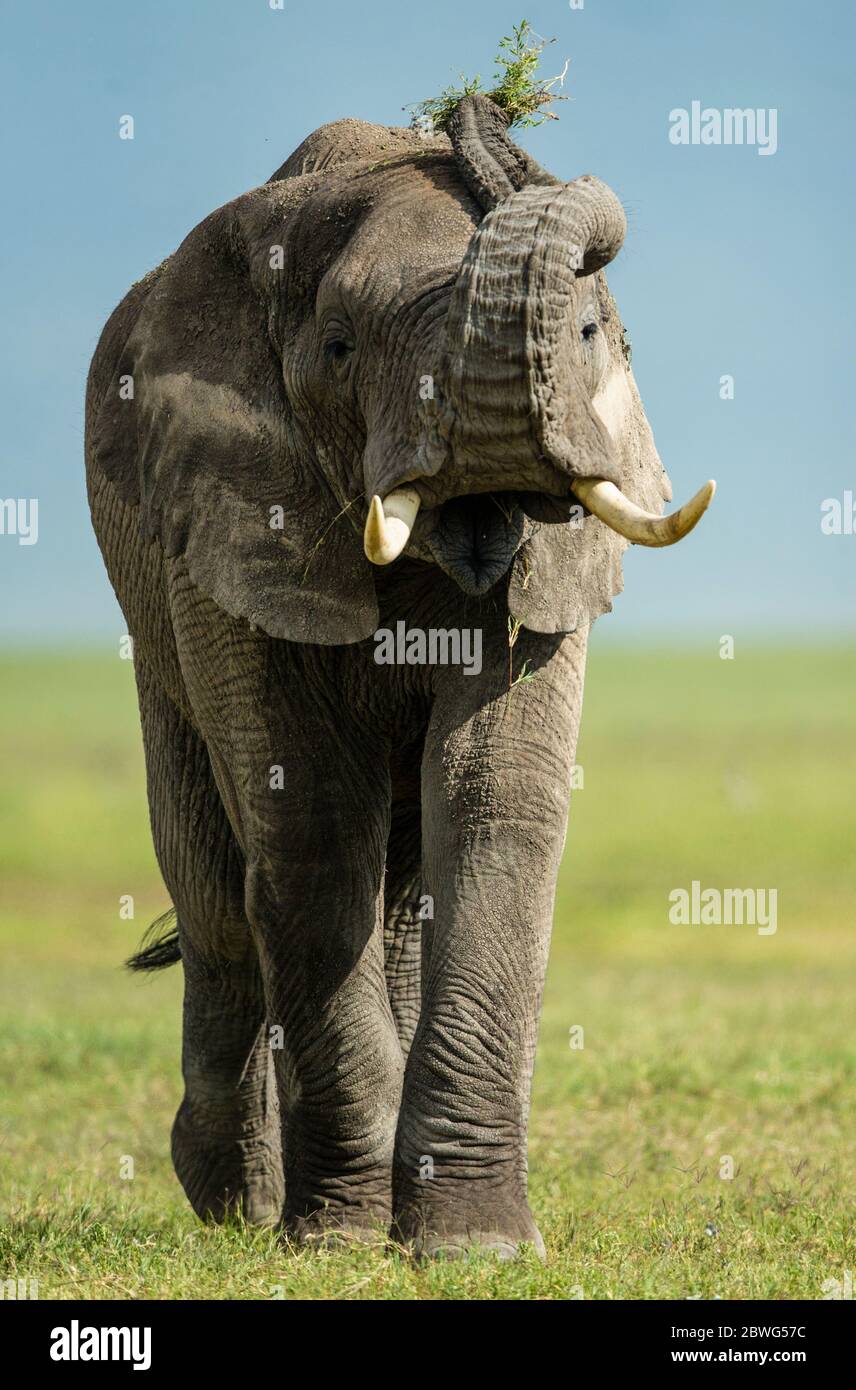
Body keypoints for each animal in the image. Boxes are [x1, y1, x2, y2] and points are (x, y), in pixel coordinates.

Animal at [85, 94, 713, 1259]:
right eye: (338, 348)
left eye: (590, 333)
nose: (480, 105)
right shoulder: (231, 522)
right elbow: (308, 820)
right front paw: (331, 1241)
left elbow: (494, 802)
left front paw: (471, 1246)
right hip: (151, 618)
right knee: (215, 895)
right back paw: (238, 1201)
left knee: (395, 893)